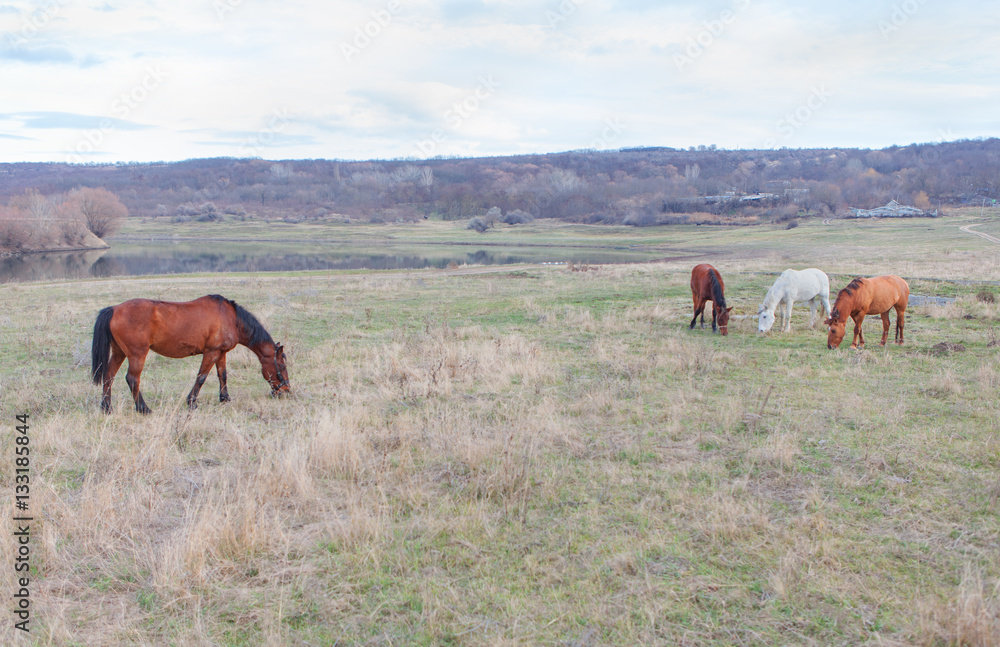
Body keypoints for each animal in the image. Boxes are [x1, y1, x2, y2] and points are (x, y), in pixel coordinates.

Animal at [91, 294, 290, 413]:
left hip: (119, 352)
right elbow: (201, 377)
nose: (286, 391)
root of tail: (114, 309)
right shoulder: (211, 352)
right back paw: (143, 408)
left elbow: (222, 375)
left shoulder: (221, 353)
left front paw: (225, 398)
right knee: (132, 379)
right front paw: (192, 402)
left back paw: (106, 407)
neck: (232, 319)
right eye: (281, 366)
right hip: (137, 354)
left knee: (109, 376)